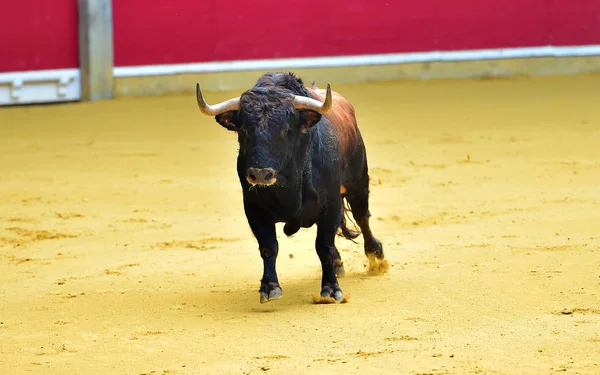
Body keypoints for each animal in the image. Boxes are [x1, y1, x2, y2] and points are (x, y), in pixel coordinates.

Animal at [195, 72, 386, 304]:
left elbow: (324, 246)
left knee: (362, 216)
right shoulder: (254, 209)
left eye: (286, 130)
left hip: (358, 182)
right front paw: (269, 287)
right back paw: (339, 263)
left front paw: (331, 290)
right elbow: (269, 246)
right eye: (244, 130)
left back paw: (376, 256)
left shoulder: (330, 204)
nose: (260, 174)